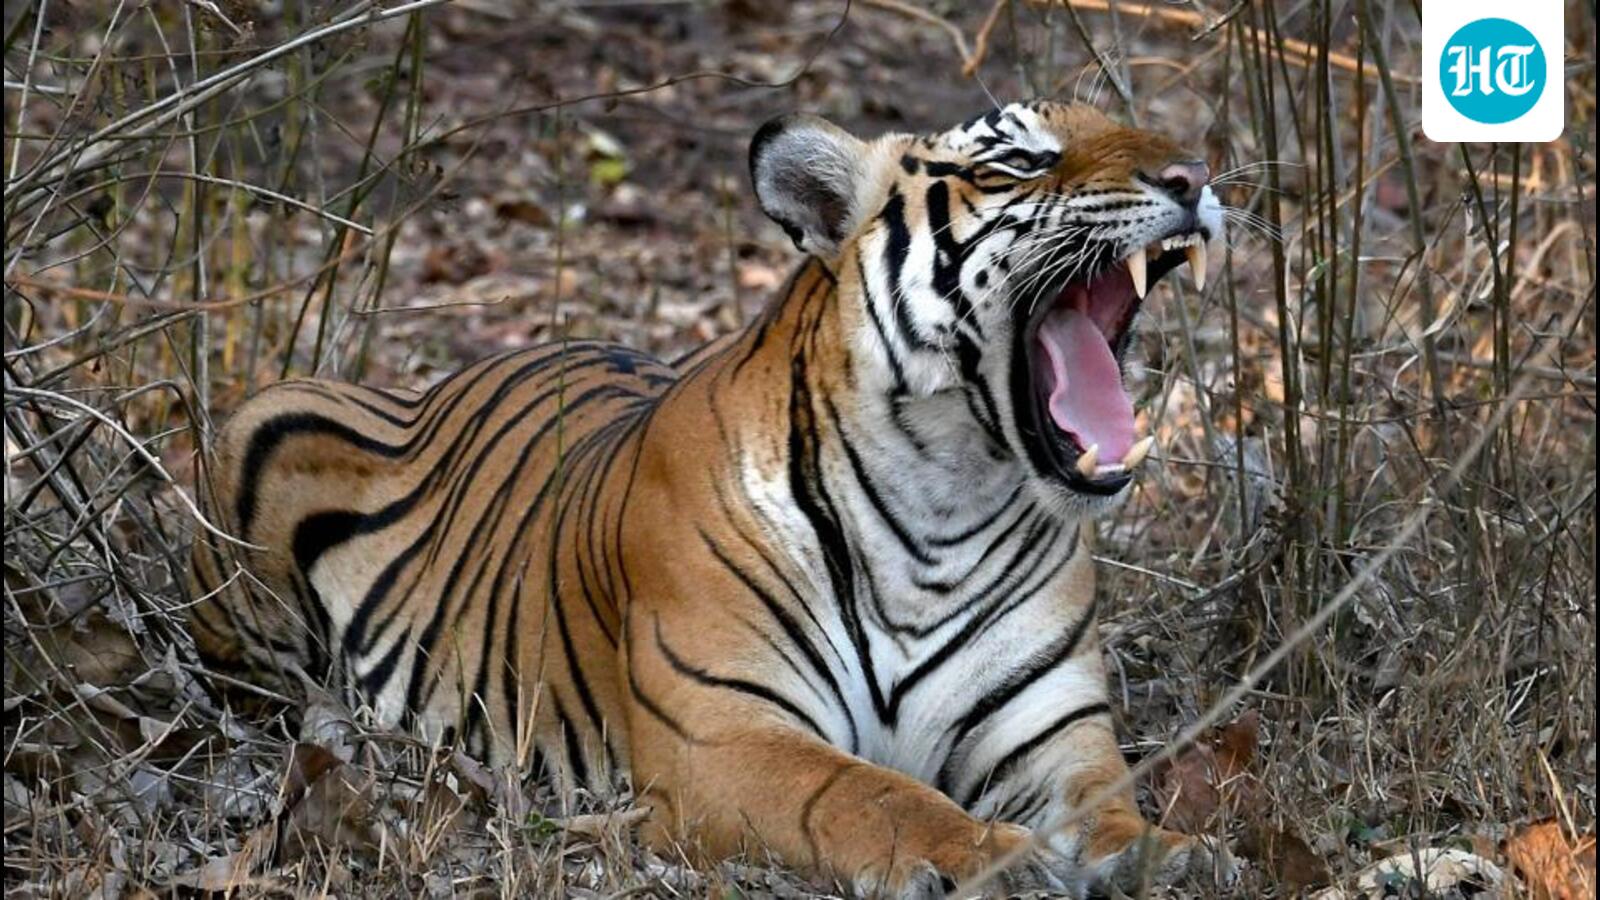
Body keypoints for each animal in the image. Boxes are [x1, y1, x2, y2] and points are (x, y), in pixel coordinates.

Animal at [188, 100, 1226, 896]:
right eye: (1019, 159)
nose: (1196, 173)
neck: (948, 500)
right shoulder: (726, 734)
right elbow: (868, 793)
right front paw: (989, 859)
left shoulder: (1050, 733)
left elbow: (1111, 807)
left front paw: (1170, 854)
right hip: (262, 439)